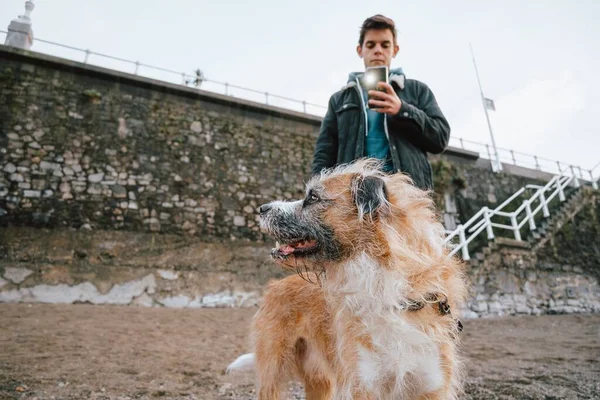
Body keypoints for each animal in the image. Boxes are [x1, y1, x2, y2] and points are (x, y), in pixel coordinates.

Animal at [227, 160, 466, 400]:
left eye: (313, 197)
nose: (261, 208)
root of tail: (275, 285)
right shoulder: (361, 383)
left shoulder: (432, 386)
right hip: (272, 372)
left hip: (320, 381)